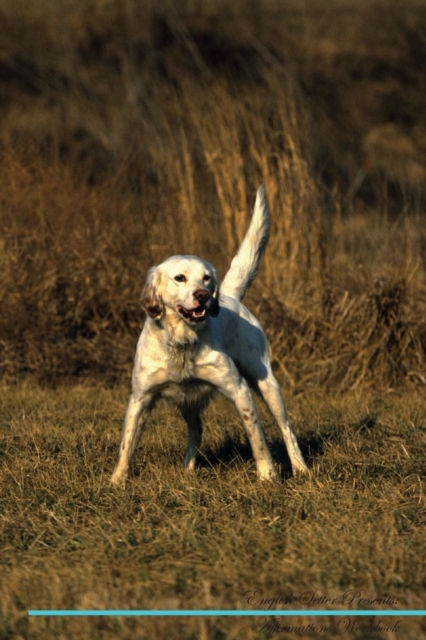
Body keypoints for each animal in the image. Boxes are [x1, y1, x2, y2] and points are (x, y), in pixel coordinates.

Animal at [111, 185, 308, 484]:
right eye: (179, 278)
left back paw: (301, 468)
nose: (203, 295)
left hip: (266, 384)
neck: (182, 342)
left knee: (287, 430)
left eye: (206, 278)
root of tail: (230, 295)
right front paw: (117, 481)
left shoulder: (240, 390)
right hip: (189, 402)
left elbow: (258, 440)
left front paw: (267, 476)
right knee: (197, 431)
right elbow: (127, 444)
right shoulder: (140, 398)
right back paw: (187, 469)